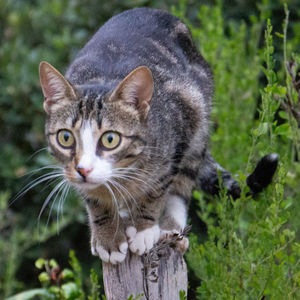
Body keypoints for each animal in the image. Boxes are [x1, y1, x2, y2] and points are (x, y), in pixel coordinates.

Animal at [38, 8, 278, 264]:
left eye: (110, 139)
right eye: (65, 138)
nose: (83, 169)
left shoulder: (182, 121)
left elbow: (158, 187)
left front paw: (143, 229)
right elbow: (94, 199)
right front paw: (109, 237)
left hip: (199, 117)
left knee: (183, 180)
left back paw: (169, 228)